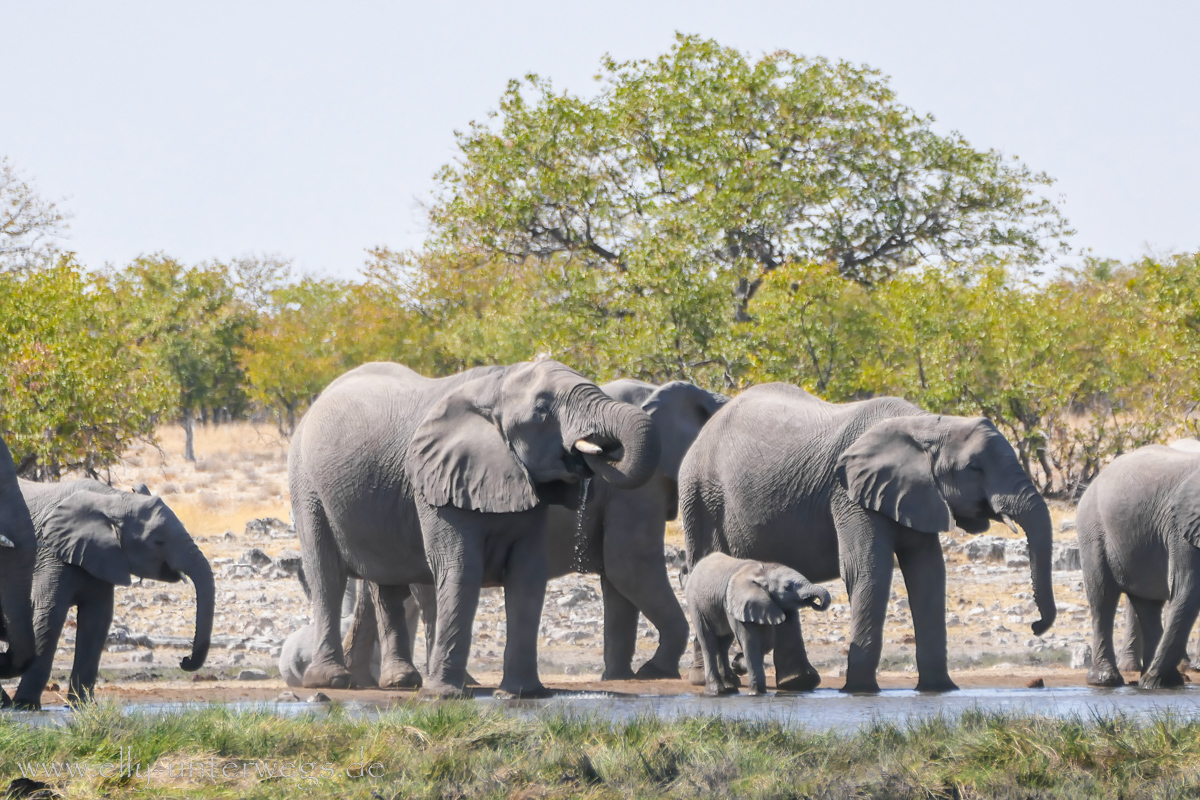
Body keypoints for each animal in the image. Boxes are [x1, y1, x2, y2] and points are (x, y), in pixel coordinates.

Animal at [9, 482, 213, 705]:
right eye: (158, 542)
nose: (184, 660)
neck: (112, 499)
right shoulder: (51, 554)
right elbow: (50, 615)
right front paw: (25, 705)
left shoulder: (102, 557)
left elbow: (97, 620)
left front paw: (83, 705)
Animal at [291, 359, 662, 695]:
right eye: (543, 410)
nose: (594, 451)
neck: (495, 386)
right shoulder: (437, 483)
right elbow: (461, 568)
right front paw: (444, 695)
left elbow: (528, 573)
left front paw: (523, 693)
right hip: (307, 487)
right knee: (327, 576)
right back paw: (331, 681)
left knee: (387, 585)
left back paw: (402, 682)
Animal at [691, 554, 830, 695]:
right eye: (787, 587)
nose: (816, 602)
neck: (763, 573)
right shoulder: (740, 603)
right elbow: (751, 641)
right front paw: (757, 693)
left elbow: (776, 637)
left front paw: (798, 682)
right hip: (697, 606)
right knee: (708, 642)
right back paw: (717, 691)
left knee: (724, 643)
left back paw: (731, 687)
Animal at [1075, 443, 1200, 690]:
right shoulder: (1182, 531)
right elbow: (1188, 591)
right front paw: (1152, 681)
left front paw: (1153, 681)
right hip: (1092, 530)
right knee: (1102, 597)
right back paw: (1110, 681)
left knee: (1147, 605)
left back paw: (1163, 681)